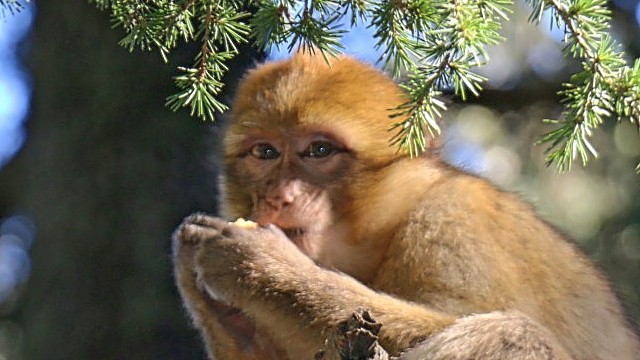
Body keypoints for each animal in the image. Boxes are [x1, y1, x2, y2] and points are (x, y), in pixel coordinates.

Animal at [172, 51, 640, 360]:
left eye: (319, 150)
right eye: (265, 153)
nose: (279, 196)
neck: (387, 230)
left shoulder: (454, 220)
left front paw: (265, 268)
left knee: (514, 334)